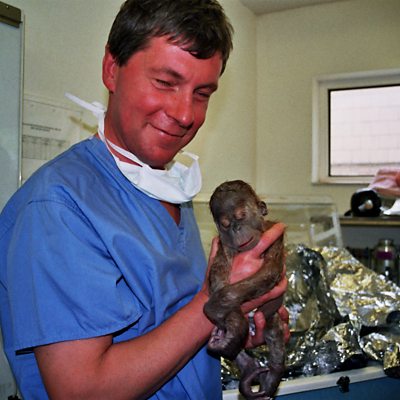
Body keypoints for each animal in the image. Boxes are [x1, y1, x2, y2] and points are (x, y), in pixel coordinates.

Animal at [203, 180, 285, 400]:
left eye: (241, 215)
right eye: (225, 223)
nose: (236, 227)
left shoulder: (275, 232)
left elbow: (270, 270)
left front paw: (215, 310)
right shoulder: (223, 245)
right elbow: (219, 277)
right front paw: (232, 322)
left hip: (268, 316)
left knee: (274, 332)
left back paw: (273, 373)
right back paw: (248, 367)